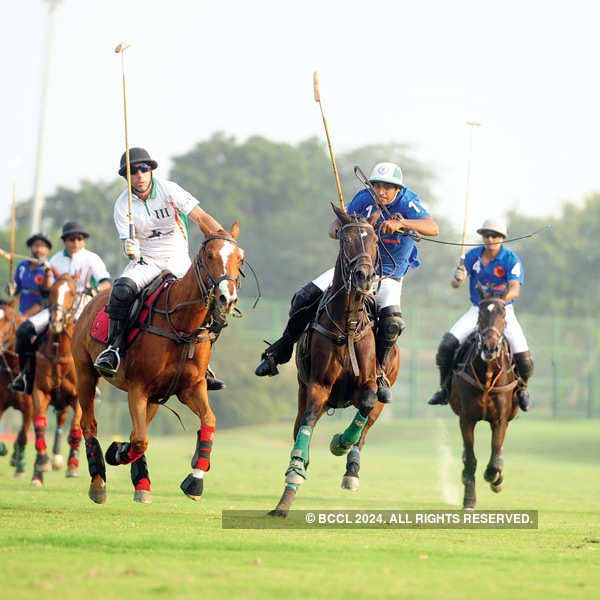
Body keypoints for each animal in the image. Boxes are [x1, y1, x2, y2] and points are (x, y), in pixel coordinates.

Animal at [30, 272, 84, 488]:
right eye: (51, 290)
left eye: (72, 293)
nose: (57, 320)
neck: (59, 351)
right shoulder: (40, 391)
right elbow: (39, 422)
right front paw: (42, 461)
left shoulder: (78, 396)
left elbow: (76, 427)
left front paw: (72, 466)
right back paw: (38, 473)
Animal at [71, 223, 245, 504]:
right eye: (209, 256)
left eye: (240, 258)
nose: (226, 299)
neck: (182, 326)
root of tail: (92, 300)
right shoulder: (137, 387)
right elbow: (140, 439)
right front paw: (116, 452)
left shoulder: (191, 387)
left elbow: (209, 420)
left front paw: (195, 480)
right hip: (84, 371)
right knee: (89, 424)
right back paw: (98, 483)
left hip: (156, 396)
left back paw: (141, 482)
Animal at [270, 206, 400, 516]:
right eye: (345, 238)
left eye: (375, 240)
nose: (365, 276)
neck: (348, 325)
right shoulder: (318, 386)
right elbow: (306, 425)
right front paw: (291, 482)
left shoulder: (368, 384)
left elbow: (365, 405)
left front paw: (340, 443)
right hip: (303, 390)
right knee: (299, 426)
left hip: (383, 394)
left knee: (366, 427)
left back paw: (351, 468)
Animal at [450, 284, 520, 508]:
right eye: (481, 313)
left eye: (503, 313)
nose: (490, 347)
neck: (487, 375)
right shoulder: (466, 418)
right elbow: (471, 460)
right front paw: (469, 499)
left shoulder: (500, 419)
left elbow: (494, 456)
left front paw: (495, 478)